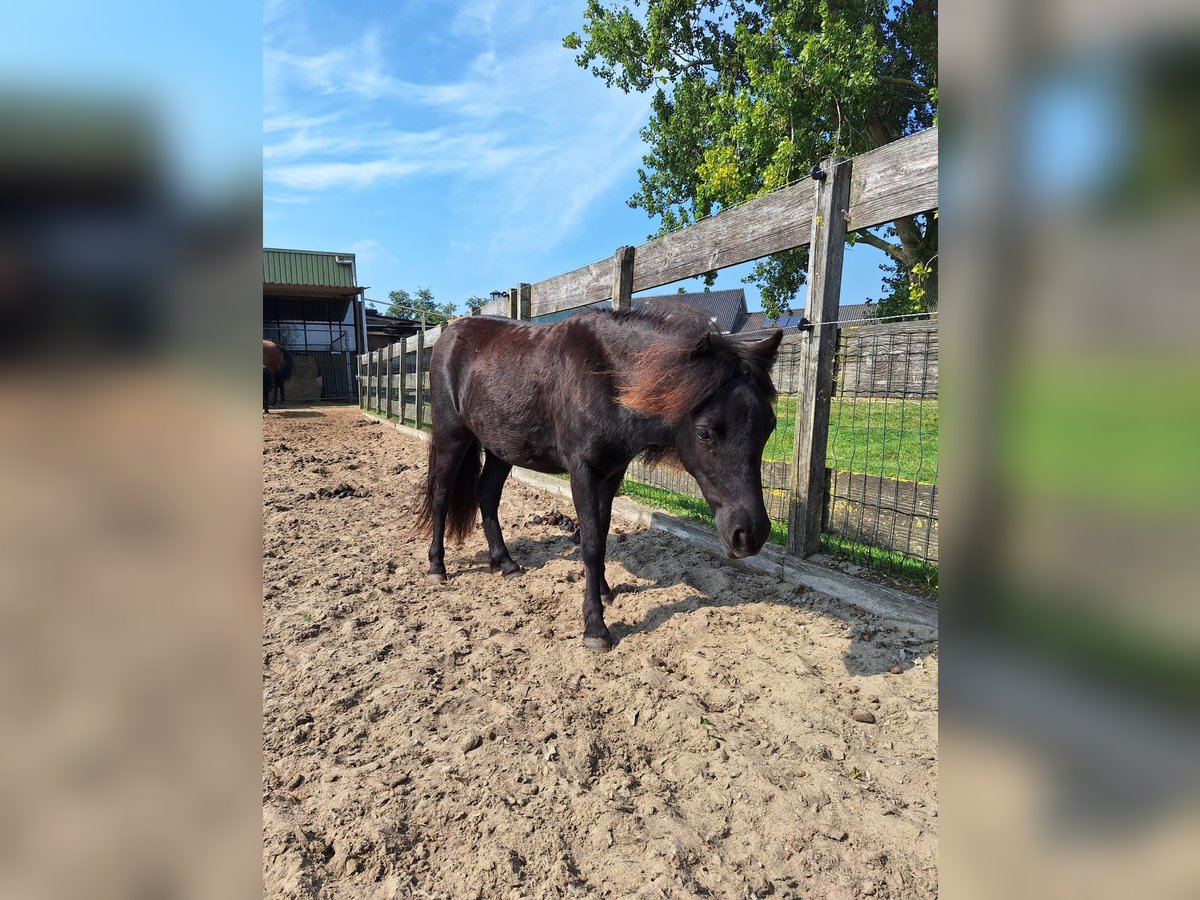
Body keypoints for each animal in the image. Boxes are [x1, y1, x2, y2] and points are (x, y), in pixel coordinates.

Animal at [417, 309, 782, 657]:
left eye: (769, 426)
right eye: (705, 432)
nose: (750, 535)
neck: (607, 378)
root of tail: (449, 334)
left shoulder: (612, 472)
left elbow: (603, 534)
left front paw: (605, 591)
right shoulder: (583, 472)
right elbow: (590, 543)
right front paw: (595, 627)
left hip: (500, 447)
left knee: (487, 495)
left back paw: (505, 563)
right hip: (452, 435)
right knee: (442, 496)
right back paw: (437, 567)